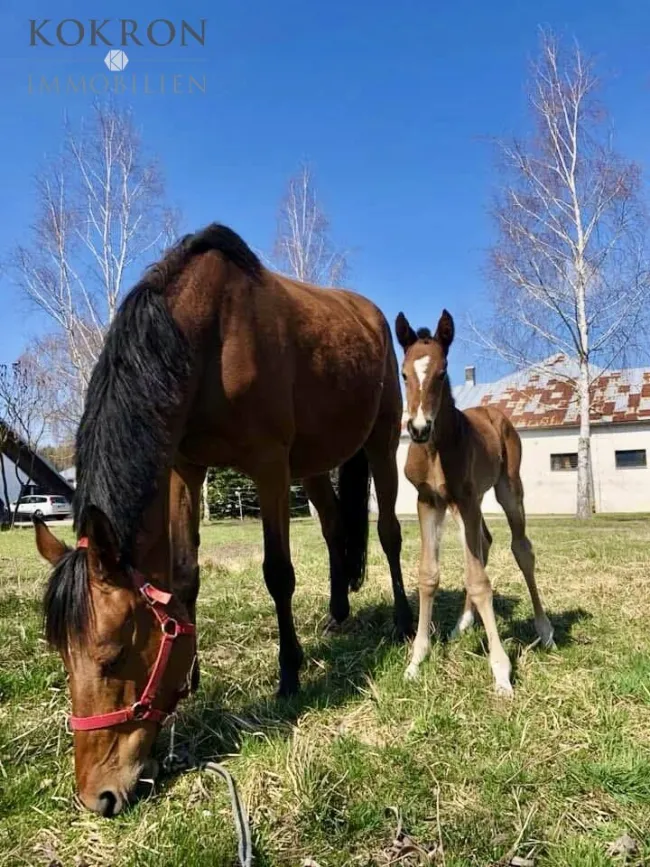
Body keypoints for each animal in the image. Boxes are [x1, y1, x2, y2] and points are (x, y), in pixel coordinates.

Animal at [34, 225, 414, 816]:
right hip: (312, 465)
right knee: (334, 529)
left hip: (379, 440)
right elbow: (185, 578)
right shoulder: (186, 469)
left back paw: (401, 621)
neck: (207, 338)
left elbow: (278, 574)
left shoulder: (269, 465)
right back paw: (337, 614)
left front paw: (289, 673)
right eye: (61, 656)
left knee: (389, 535)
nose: (97, 797)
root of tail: (370, 315)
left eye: (113, 656)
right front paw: (189, 677)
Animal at [394, 309, 554, 695]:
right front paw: (416, 661)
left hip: (506, 489)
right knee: (484, 541)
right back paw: (462, 624)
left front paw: (501, 671)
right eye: (403, 373)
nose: (418, 427)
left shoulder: (465, 499)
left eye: (441, 372)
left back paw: (545, 631)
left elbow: (479, 580)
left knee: (521, 549)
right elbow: (428, 575)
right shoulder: (429, 501)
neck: (436, 449)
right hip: (466, 504)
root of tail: (494, 413)